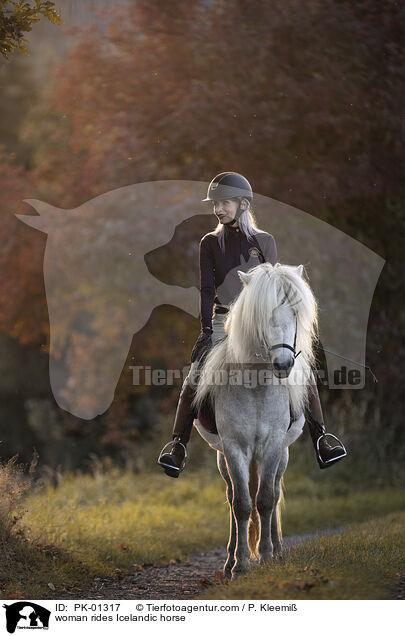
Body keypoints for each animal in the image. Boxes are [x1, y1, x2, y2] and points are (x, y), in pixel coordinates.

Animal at [191, 260, 318, 580]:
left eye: (295, 314)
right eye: (263, 316)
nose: (284, 365)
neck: (257, 387)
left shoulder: (272, 446)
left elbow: (266, 499)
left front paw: (268, 555)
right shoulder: (235, 448)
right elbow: (241, 504)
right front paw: (240, 564)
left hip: (281, 453)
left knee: (274, 490)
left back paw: (277, 548)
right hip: (223, 457)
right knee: (233, 496)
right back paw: (229, 560)